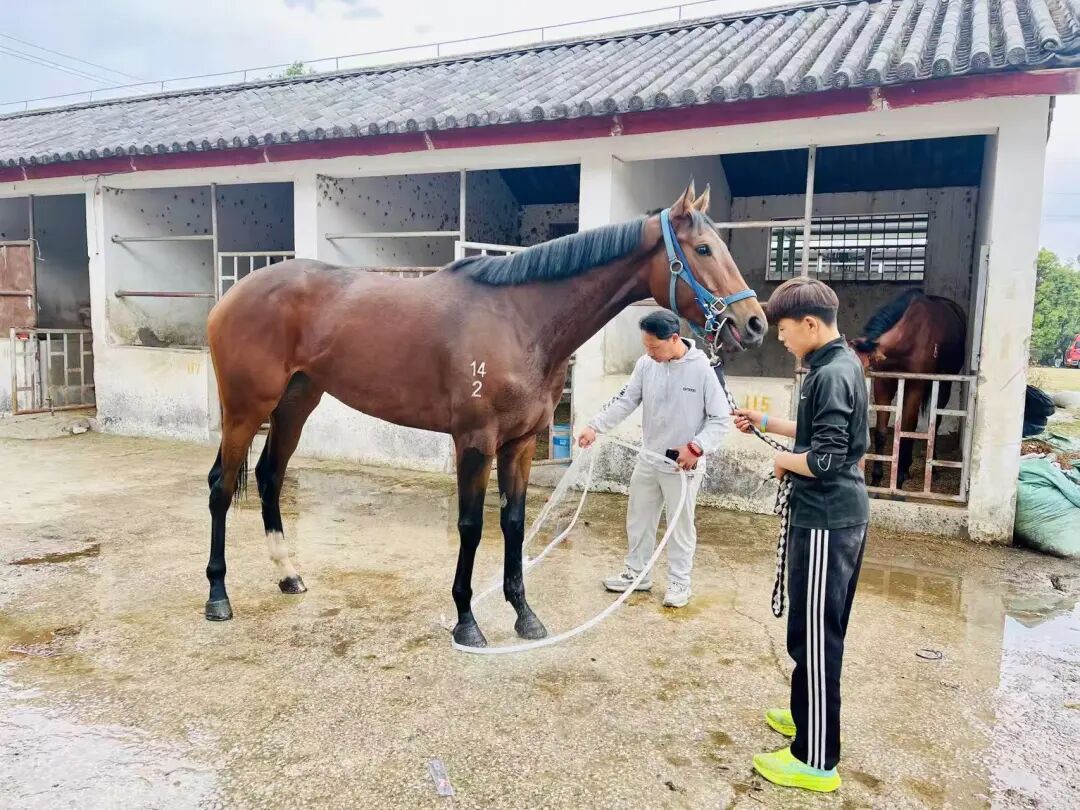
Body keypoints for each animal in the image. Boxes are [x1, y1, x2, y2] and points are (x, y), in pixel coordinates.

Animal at [202, 180, 767, 647]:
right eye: (702, 249)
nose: (754, 322)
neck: (520, 320)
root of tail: (232, 294)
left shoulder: (520, 444)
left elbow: (513, 523)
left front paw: (525, 615)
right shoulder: (474, 442)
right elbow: (471, 525)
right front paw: (467, 621)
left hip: (297, 404)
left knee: (270, 477)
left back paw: (288, 575)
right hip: (246, 408)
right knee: (222, 487)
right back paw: (218, 597)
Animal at [850, 289, 966, 490]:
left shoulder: (915, 386)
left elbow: (906, 429)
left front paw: (898, 479)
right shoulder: (883, 384)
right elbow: (882, 432)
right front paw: (876, 478)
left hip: (944, 384)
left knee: (935, 421)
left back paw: (932, 468)